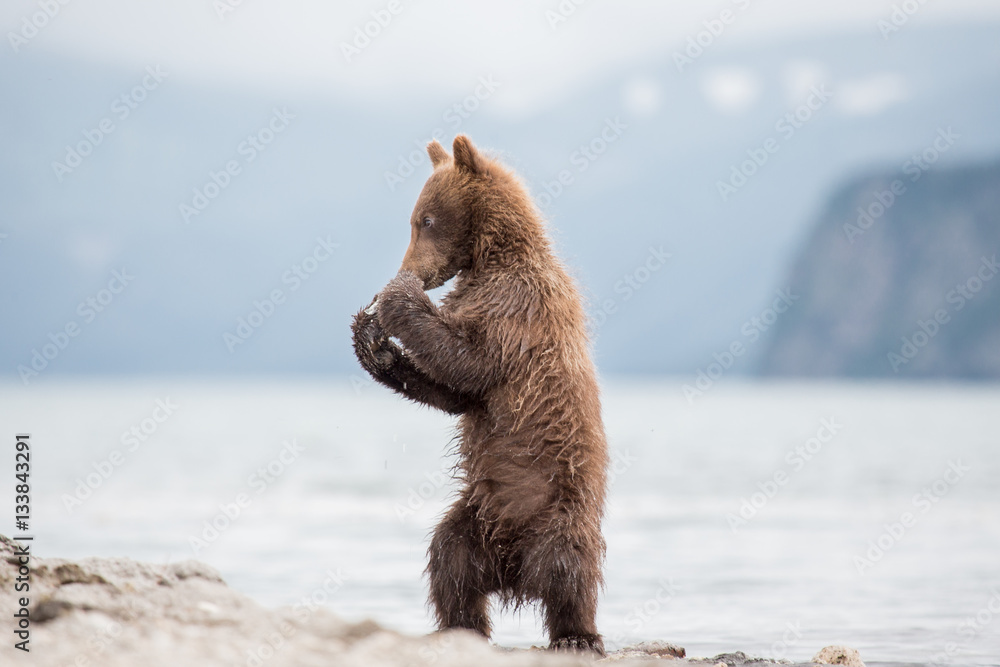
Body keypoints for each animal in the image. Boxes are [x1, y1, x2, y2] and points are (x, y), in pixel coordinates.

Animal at [351, 135, 608, 655]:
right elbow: (457, 395)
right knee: (449, 559)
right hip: (475, 513)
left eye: (425, 220)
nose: (410, 270)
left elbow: (470, 362)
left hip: (560, 507)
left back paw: (576, 634)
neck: (493, 257)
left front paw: (397, 299)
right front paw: (377, 351)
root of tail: (514, 572)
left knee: (568, 569)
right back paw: (460, 624)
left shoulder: (517, 307)